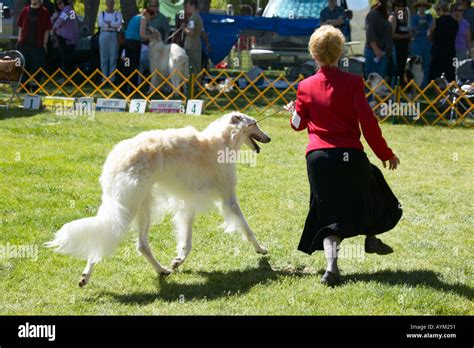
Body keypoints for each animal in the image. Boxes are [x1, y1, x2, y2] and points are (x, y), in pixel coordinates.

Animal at [48, 113, 272, 286]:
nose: (269, 138)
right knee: (107, 236)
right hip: (129, 207)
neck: (221, 140)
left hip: (142, 206)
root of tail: (115, 158)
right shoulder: (228, 198)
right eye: (254, 123)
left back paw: (162, 270)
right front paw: (261, 249)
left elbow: (186, 243)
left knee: (140, 244)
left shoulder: (188, 204)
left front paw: (177, 261)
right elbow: (246, 227)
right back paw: (87, 276)